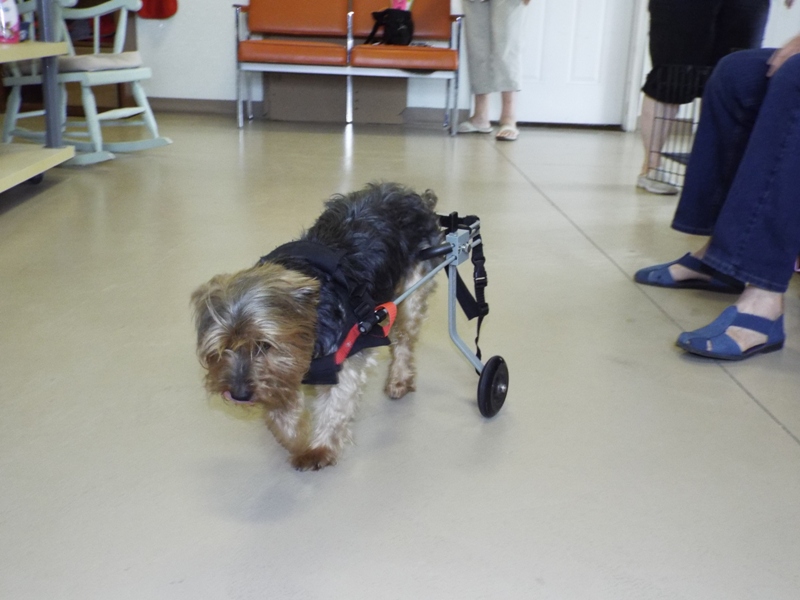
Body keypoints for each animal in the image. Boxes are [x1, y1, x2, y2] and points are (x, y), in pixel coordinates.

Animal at [191, 183, 444, 470]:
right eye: (221, 349)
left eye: (264, 345)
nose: (240, 394)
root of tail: (412, 196)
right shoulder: (283, 371)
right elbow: (280, 409)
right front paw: (295, 438)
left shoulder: (349, 350)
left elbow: (335, 404)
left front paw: (318, 449)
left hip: (415, 284)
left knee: (404, 337)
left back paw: (399, 379)